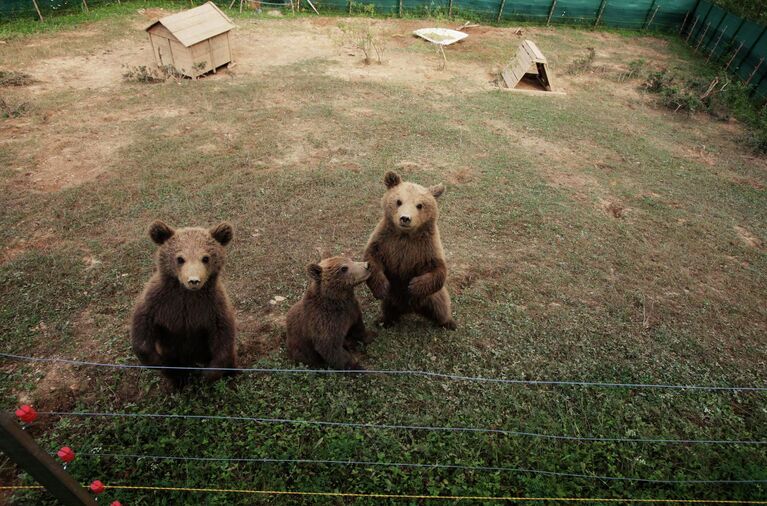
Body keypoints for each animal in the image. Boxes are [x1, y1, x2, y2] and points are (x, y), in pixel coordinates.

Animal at [130, 219, 237, 390]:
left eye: (205, 258)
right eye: (180, 258)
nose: (193, 280)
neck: (187, 294)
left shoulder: (213, 307)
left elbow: (223, 337)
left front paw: (207, 376)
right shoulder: (159, 302)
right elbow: (142, 329)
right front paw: (159, 363)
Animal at [366, 170, 456, 330]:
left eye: (419, 205)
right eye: (398, 201)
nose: (405, 218)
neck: (406, 235)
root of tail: (410, 309)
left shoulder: (426, 248)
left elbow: (438, 269)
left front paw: (414, 286)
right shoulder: (385, 241)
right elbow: (372, 257)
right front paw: (381, 287)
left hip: (434, 297)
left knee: (441, 307)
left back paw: (449, 322)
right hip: (392, 298)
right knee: (388, 308)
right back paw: (384, 320)